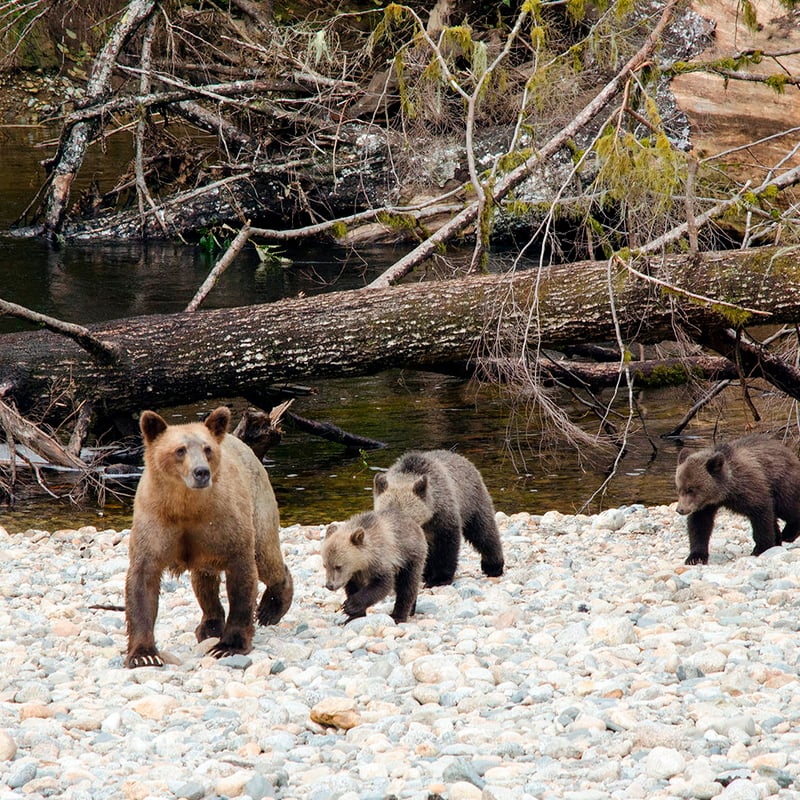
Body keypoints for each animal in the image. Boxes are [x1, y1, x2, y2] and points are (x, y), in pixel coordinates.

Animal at [124, 406, 293, 668]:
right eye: (180, 450)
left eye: (207, 449)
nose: (201, 472)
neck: (187, 507)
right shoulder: (155, 524)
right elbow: (142, 581)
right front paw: (144, 654)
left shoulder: (225, 524)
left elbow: (243, 577)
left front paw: (228, 646)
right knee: (204, 580)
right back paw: (209, 624)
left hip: (258, 505)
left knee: (266, 557)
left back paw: (270, 608)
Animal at [373, 449, 504, 586]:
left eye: (407, 519)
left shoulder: (443, 516)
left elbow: (446, 546)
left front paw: (440, 578)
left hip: (472, 501)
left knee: (483, 532)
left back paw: (493, 566)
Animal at [675, 434, 800, 565]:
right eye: (679, 488)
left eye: (691, 489)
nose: (680, 509)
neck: (725, 492)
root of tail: (789, 452)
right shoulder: (704, 506)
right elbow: (699, 525)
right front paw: (695, 557)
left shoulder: (749, 489)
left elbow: (761, 514)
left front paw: (761, 548)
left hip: (782, 482)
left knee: (787, 507)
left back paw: (788, 533)